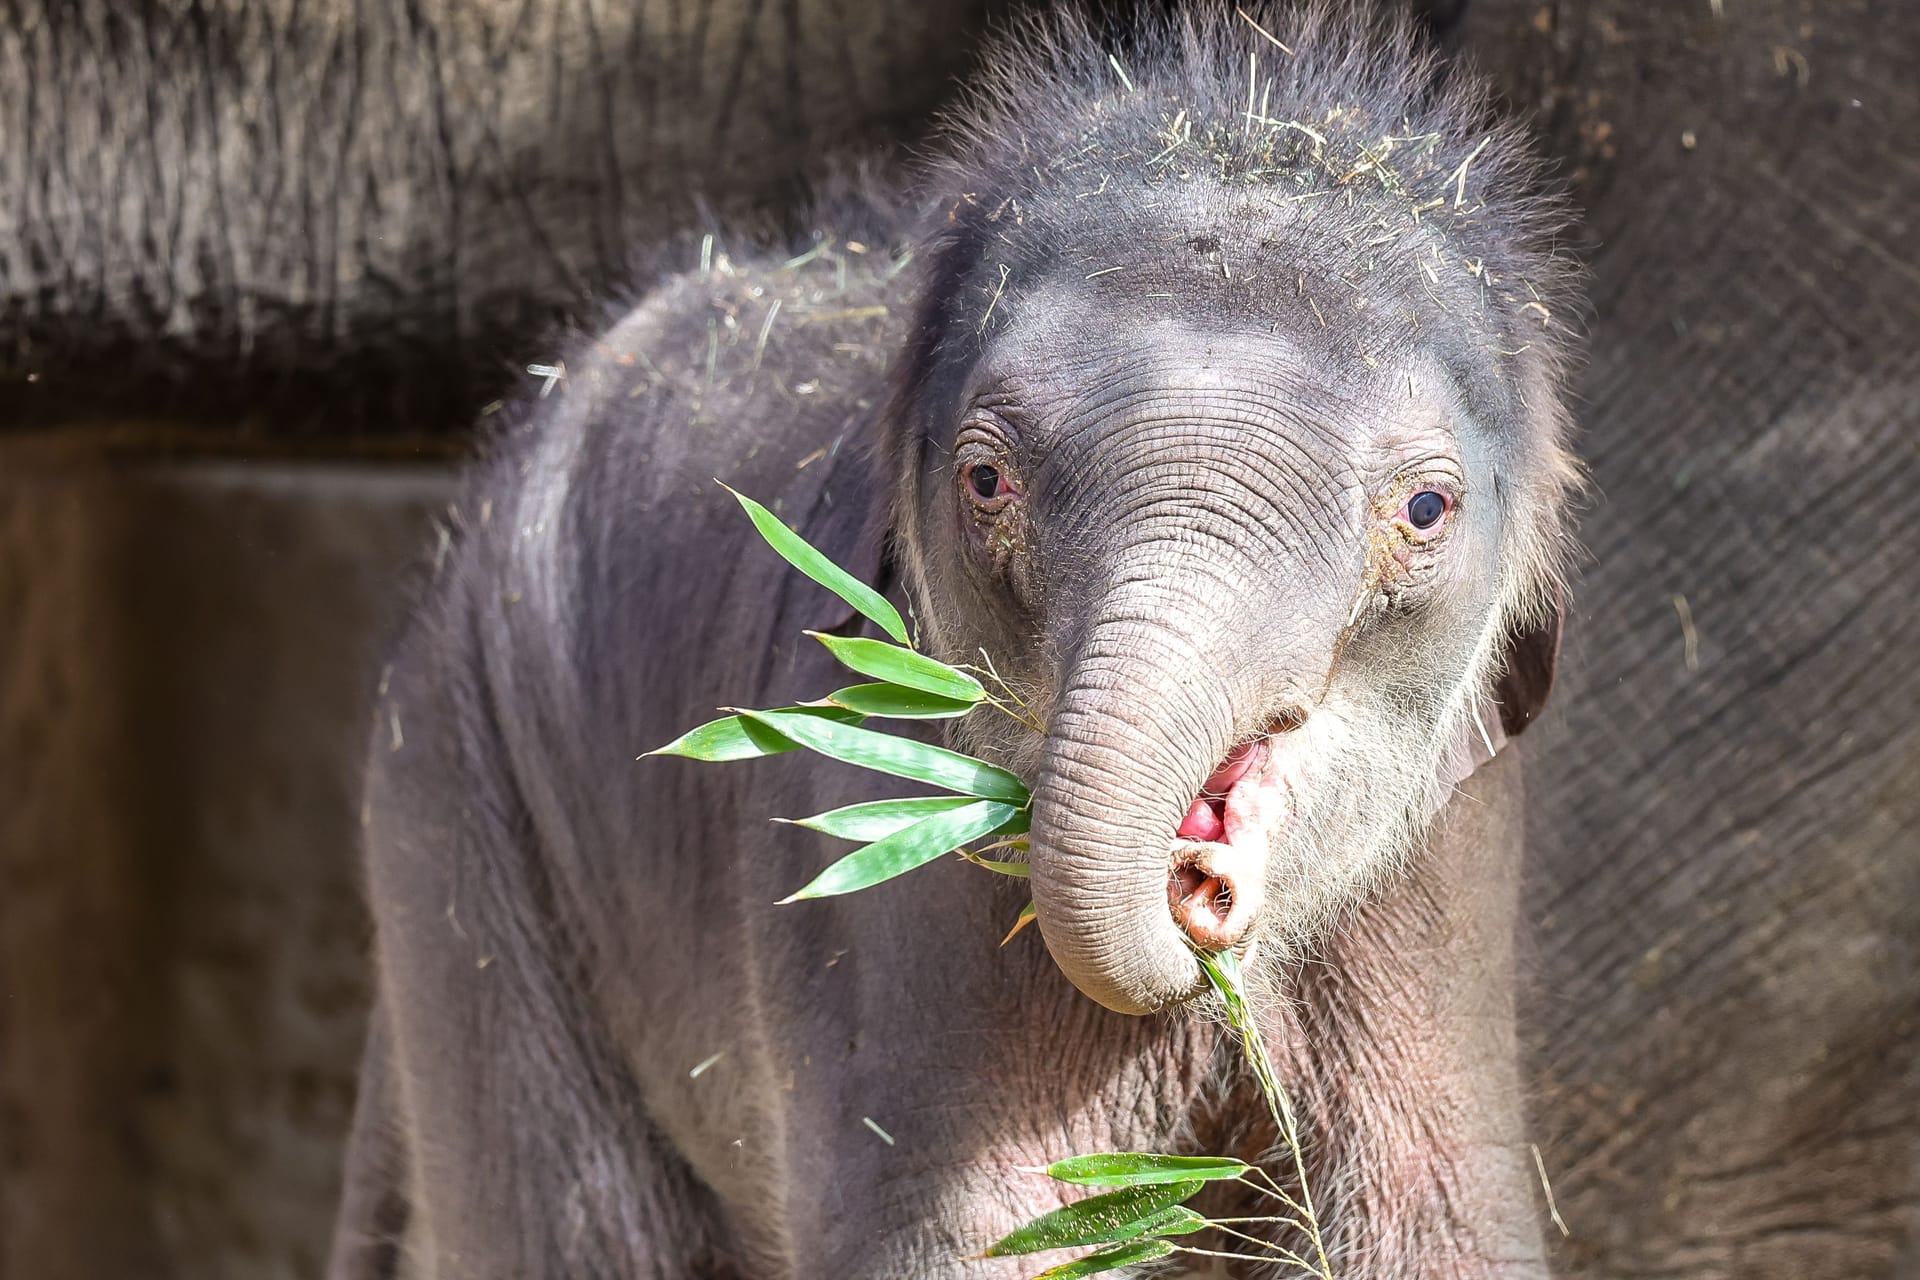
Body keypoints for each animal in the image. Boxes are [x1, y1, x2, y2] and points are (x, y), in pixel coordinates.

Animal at [334, 5, 1574, 1274]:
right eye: (986, 480)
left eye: (1424, 509)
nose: (1199, 878)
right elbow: (976, 1226)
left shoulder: (1451, 860)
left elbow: (1436, 1220)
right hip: (462, 807)